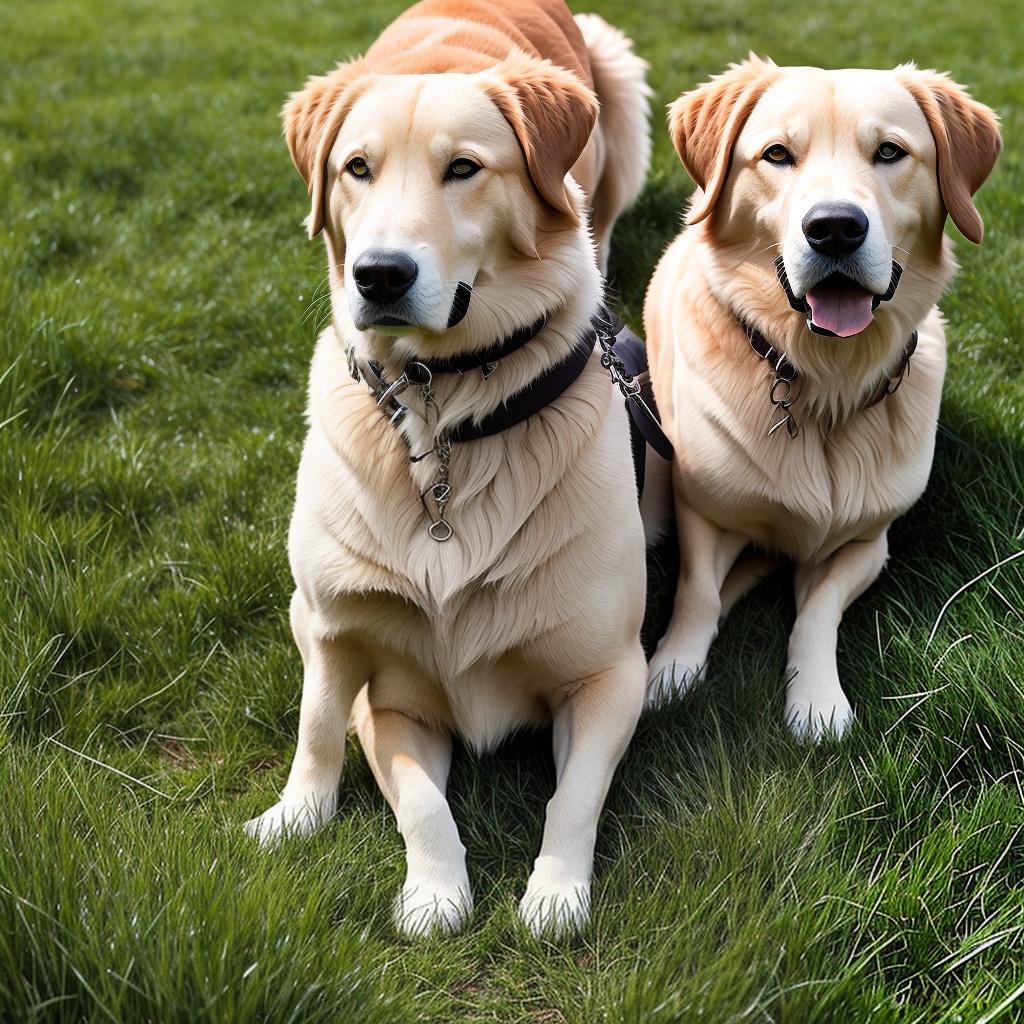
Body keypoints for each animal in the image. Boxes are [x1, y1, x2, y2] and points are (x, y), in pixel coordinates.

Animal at [243, 0, 651, 937]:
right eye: (356, 169)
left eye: (463, 169)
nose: (379, 274)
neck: (442, 403)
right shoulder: (376, 683)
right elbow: (355, 750)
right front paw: (422, 885)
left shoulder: (611, 674)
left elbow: (575, 795)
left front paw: (554, 893)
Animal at [647, 56, 999, 741]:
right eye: (778, 154)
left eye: (889, 152)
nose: (834, 228)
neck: (827, 382)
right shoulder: (701, 510)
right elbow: (696, 592)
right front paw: (668, 672)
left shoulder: (868, 543)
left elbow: (818, 611)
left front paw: (816, 701)